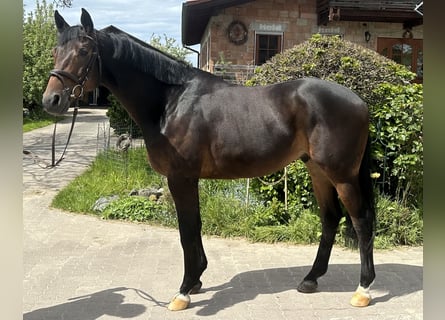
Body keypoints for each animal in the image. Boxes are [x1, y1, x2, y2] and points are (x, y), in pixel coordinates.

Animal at [42, 9, 374, 310]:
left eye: (84, 51)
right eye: (56, 51)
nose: (51, 100)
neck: (171, 102)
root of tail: (359, 101)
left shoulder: (180, 178)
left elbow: (187, 230)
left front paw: (184, 291)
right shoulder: (188, 179)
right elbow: (194, 227)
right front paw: (196, 281)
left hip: (342, 175)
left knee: (361, 221)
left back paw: (363, 290)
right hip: (317, 170)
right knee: (330, 218)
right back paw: (311, 278)